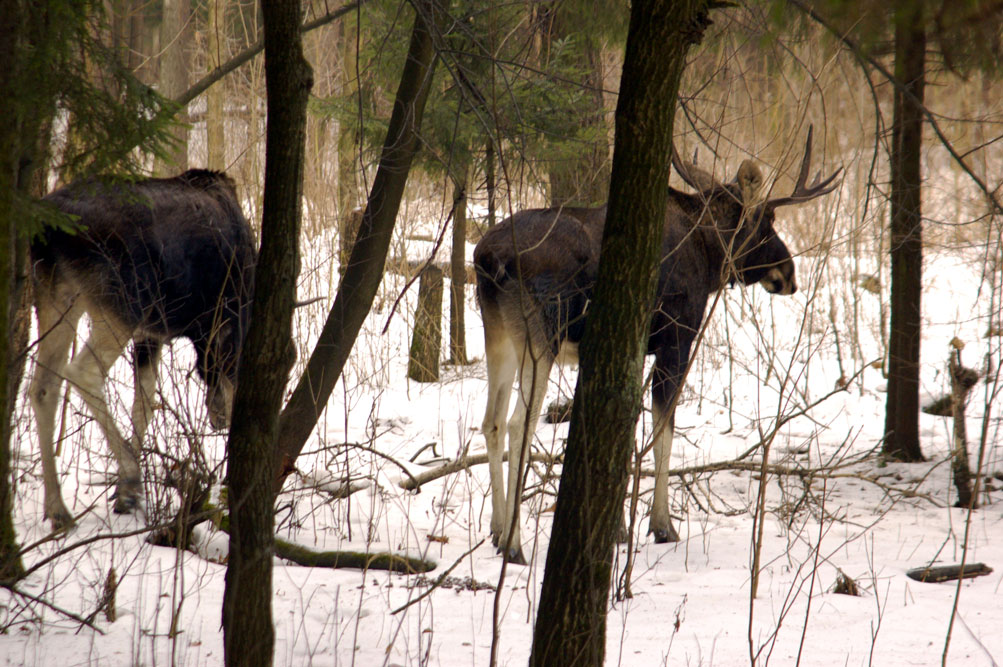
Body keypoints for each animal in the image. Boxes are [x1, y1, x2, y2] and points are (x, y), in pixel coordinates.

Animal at [31, 167, 258, 529]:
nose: (217, 418)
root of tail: (50, 232)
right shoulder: (224, 323)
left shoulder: (150, 335)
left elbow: (146, 402)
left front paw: (121, 496)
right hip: (119, 304)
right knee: (81, 372)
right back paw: (130, 474)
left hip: (57, 297)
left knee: (42, 387)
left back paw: (59, 510)